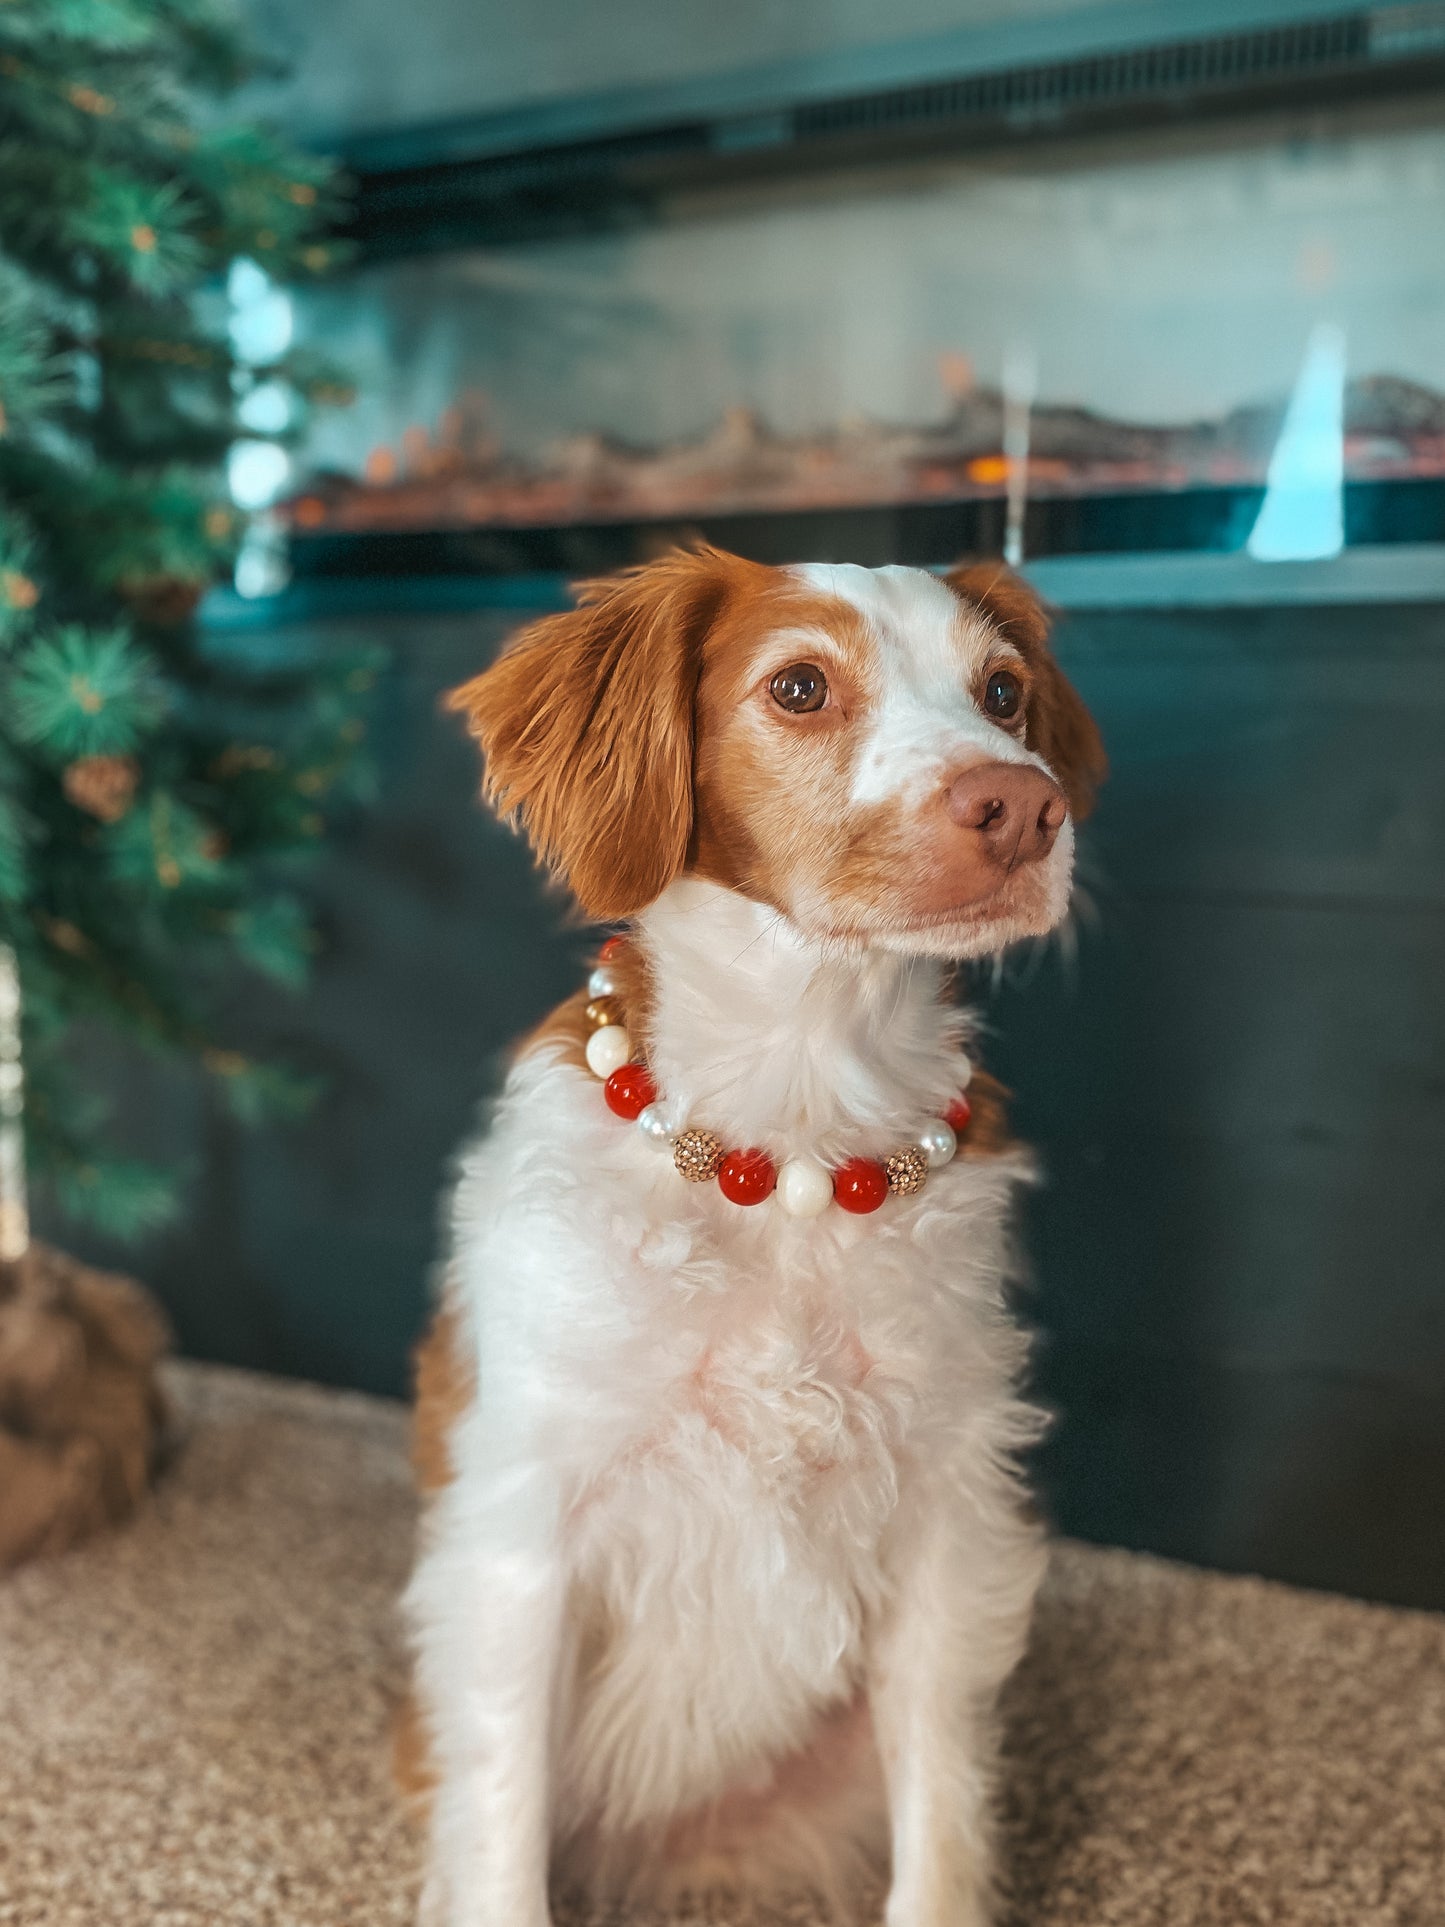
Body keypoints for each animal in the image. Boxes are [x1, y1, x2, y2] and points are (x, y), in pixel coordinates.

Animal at [396, 543, 1109, 1927]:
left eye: (1002, 692)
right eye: (797, 686)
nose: (1019, 806)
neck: (789, 1143)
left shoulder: (945, 1521)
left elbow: (940, 1828)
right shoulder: (520, 1536)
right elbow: (502, 1836)